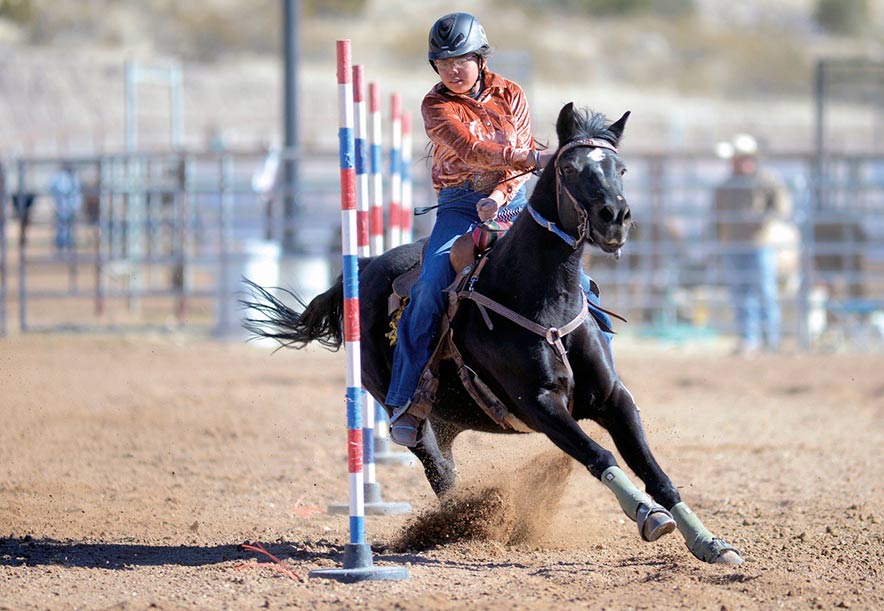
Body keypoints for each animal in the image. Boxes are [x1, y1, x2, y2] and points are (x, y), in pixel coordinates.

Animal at [245, 104, 744, 564]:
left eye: (619, 169)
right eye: (569, 168)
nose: (615, 216)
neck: (538, 294)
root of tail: (364, 267)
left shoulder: (612, 397)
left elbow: (654, 470)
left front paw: (709, 542)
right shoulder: (539, 403)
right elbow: (600, 455)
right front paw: (646, 514)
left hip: (447, 416)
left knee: (447, 470)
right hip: (402, 409)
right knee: (436, 467)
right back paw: (461, 527)